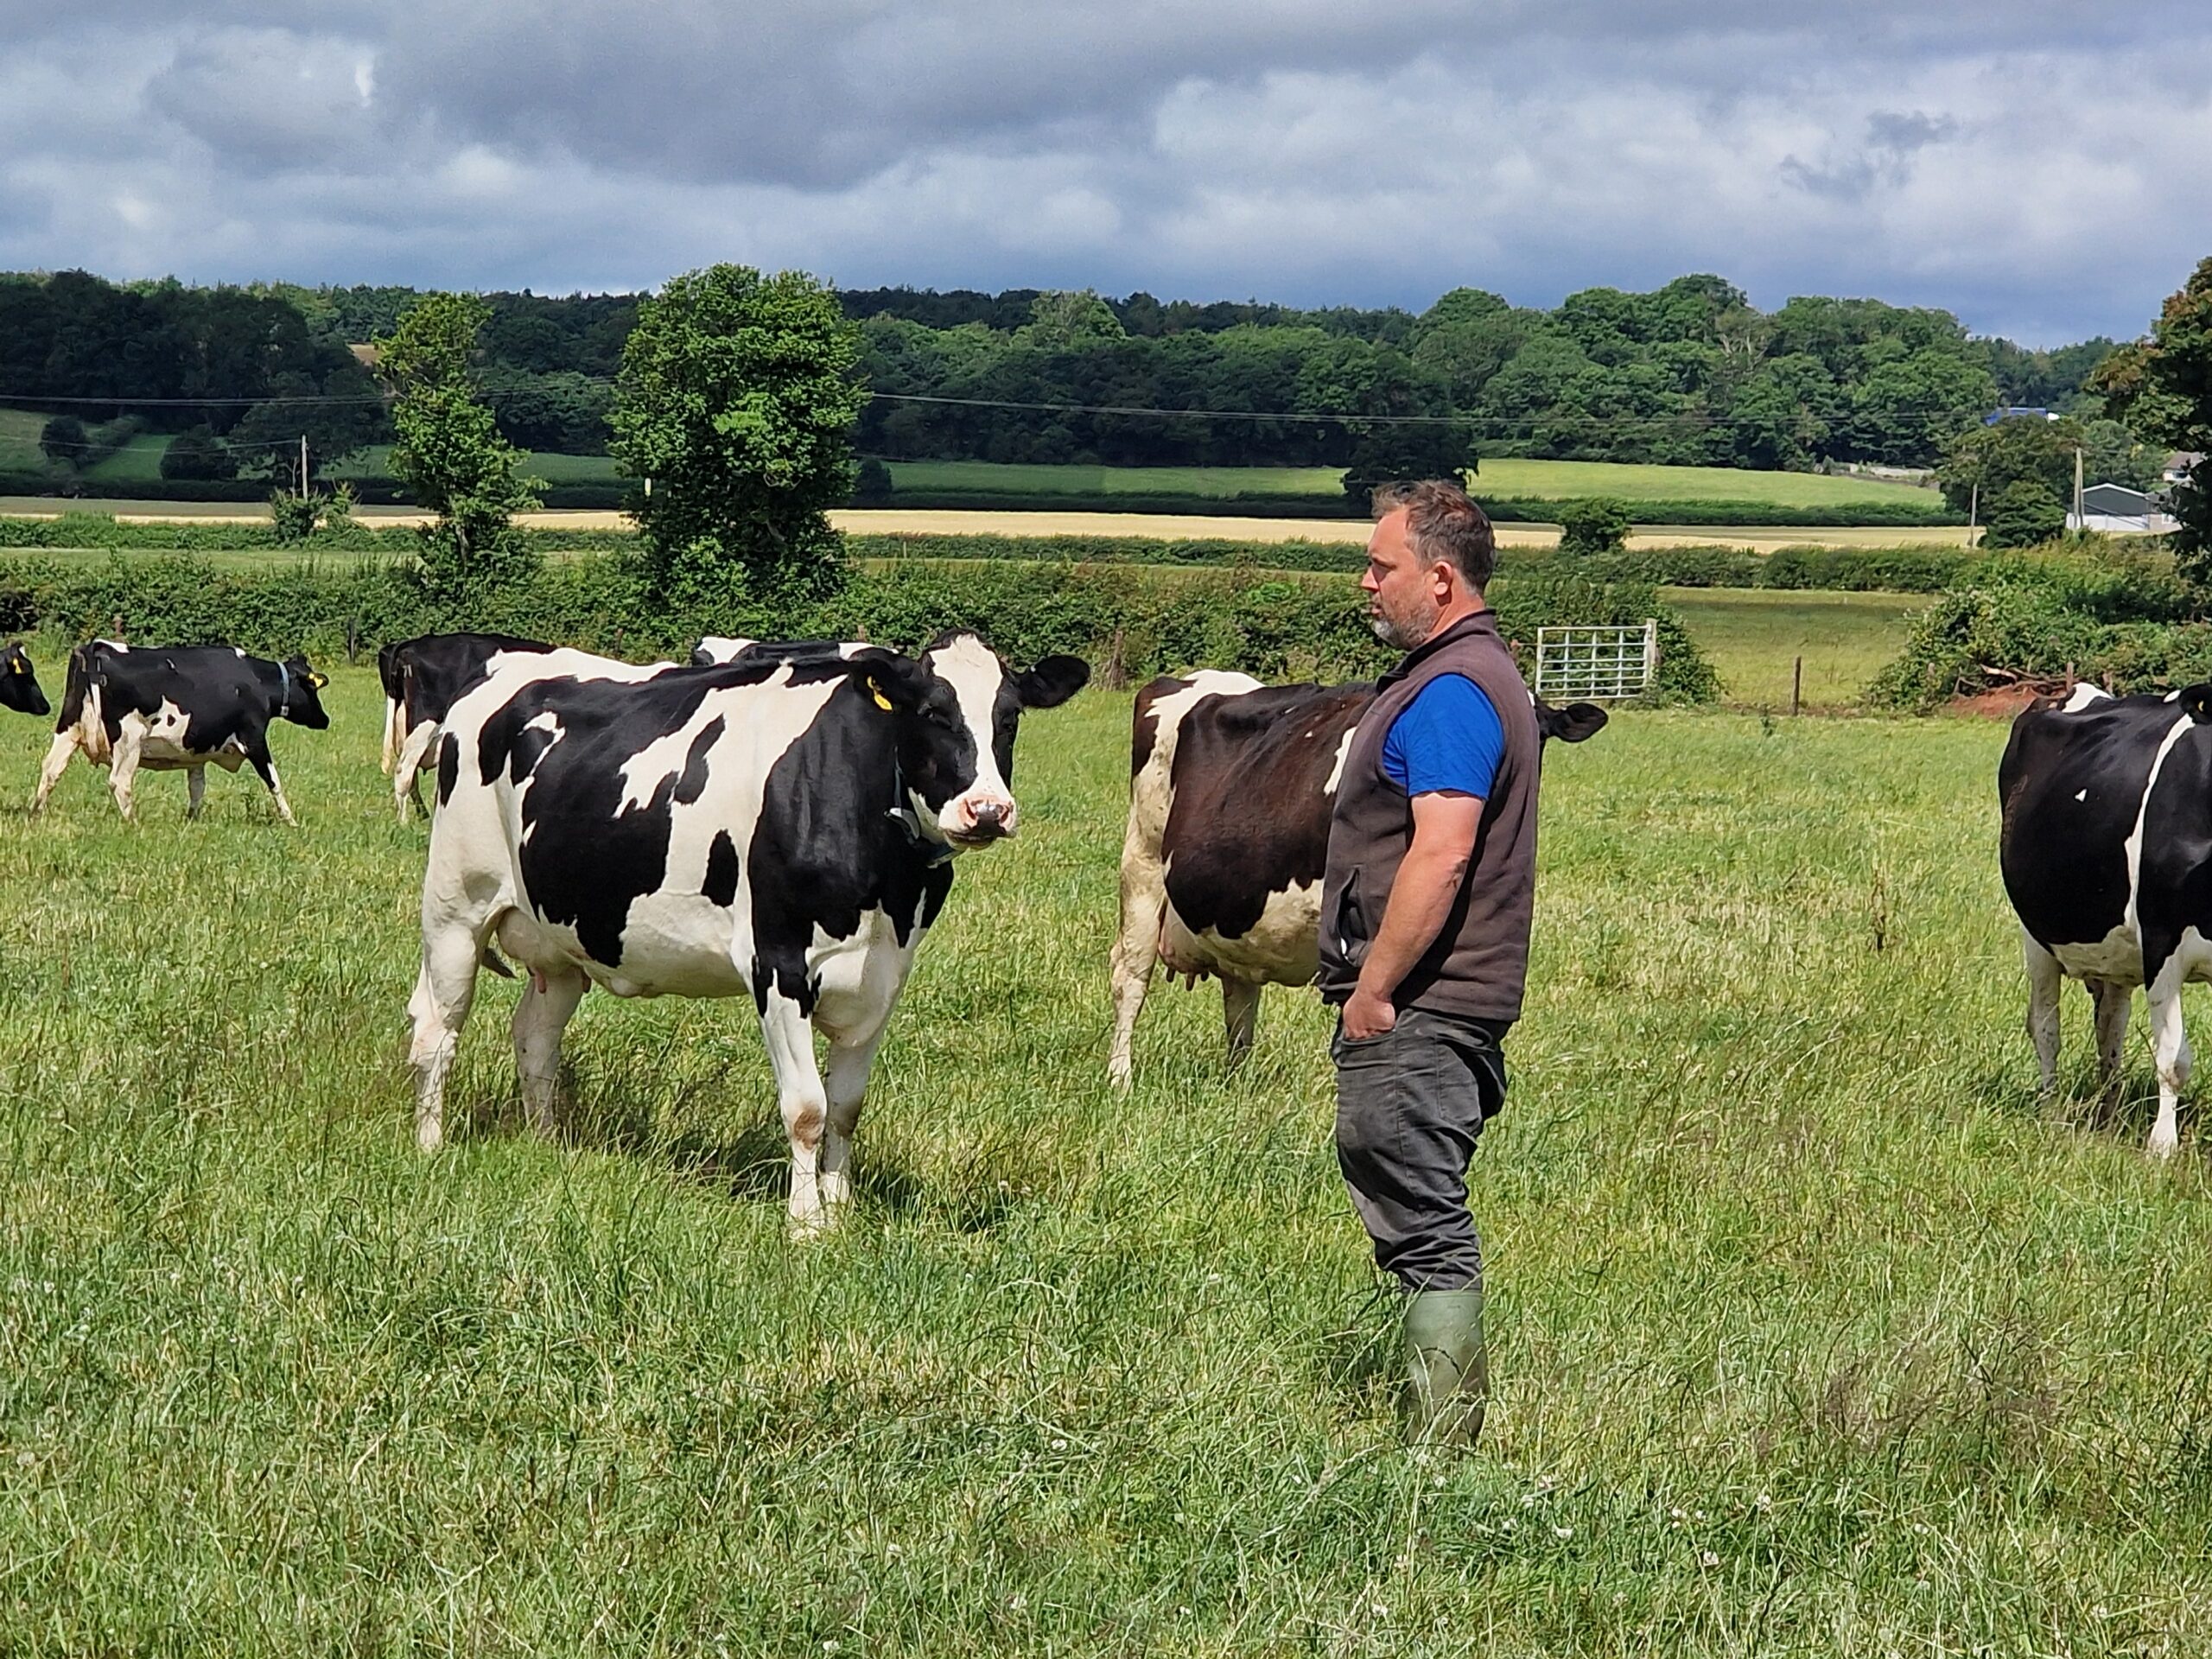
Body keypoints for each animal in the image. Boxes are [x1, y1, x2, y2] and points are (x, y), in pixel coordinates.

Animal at [31, 641, 327, 827]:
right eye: (313, 689)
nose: (326, 720)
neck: (257, 681)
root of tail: (96, 647)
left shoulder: (196, 751)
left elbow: (197, 787)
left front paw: (192, 819)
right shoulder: (254, 739)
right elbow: (273, 780)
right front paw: (290, 820)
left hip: (68, 728)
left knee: (51, 770)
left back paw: (36, 813)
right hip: (128, 740)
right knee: (119, 781)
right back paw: (133, 823)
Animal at [409, 628, 1088, 1230]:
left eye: (1009, 718)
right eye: (931, 713)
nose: (988, 811)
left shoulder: (886, 974)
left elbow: (846, 1108)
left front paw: (841, 1212)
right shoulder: (779, 963)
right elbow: (808, 1108)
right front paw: (806, 1224)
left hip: (561, 939)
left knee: (535, 1038)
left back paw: (546, 1141)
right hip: (455, 907)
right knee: (439, 1031)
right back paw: (430, 1144)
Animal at [1106, 672, 1610, 1092]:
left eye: (1535, 734)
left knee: (1240, 998)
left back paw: (1238, 1085)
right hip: (1143, 864)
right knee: (1131, 977)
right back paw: (1120, 1079)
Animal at [1999, 685, 2212, 1159]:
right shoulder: (2160, 941)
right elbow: (2173, 1058)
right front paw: (2162, 1147)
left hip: (2116, 956)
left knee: (2109, 1030)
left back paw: (2108, 1115)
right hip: (2036, 937)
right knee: (2045, 1027)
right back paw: (2052, 1112)